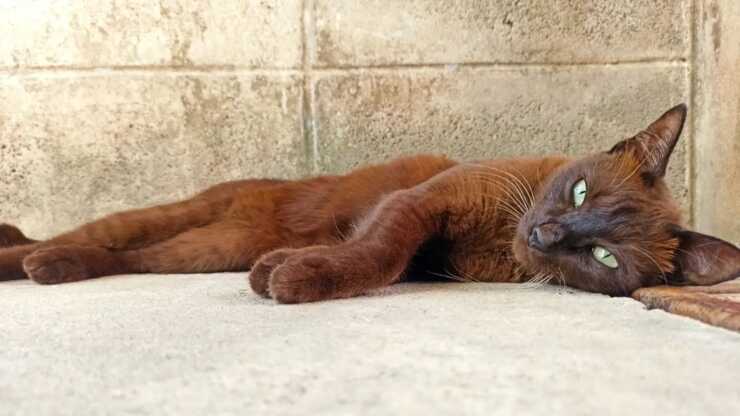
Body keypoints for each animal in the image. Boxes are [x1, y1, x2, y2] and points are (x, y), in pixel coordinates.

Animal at [1, 104, 738, 303]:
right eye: (580, 190)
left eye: (603, 256)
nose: (549, 234)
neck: (502, 237)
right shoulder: (421, 204)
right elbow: (376, 251)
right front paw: (299, 277)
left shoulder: (425, 252)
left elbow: (375, 257)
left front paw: (284, 270)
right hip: (186, 221)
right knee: (89, 234)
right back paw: (31, 259)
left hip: (203, 250)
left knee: (130, 255)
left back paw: (49, 269)